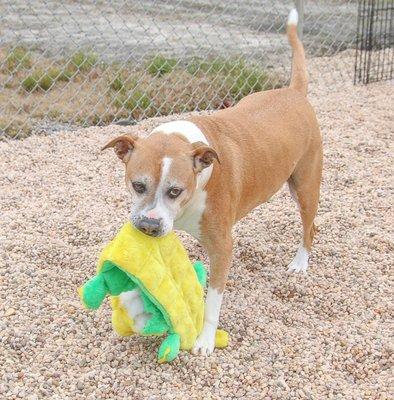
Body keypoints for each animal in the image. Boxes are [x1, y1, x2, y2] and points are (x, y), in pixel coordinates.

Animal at [102, 9, 324, 354]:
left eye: (175, 190)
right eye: (138, 185)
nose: (149, 227)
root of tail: (293, 92)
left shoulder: (221, 247)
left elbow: (212, 302)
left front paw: (205, 341)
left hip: (305, 187)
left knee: (309, 225)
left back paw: (300, 262)